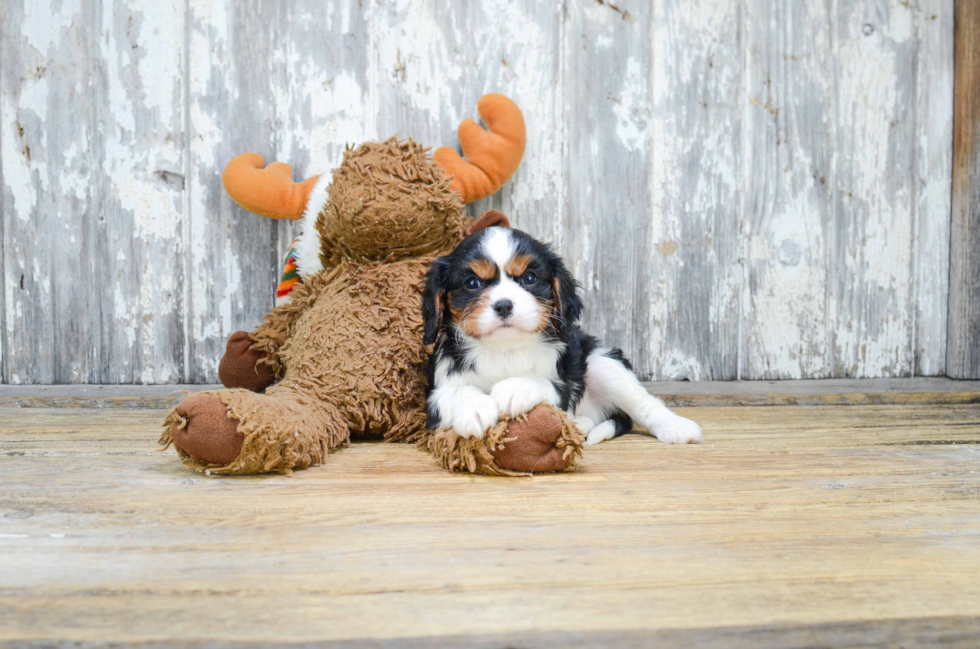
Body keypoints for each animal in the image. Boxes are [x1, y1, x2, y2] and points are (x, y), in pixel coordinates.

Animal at [422, 224, 704, 446]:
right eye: (472, 283)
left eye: (529, 278)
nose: (503, 305)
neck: (506, 349)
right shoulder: (435, 398)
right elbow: (458, 392)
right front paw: (475, 408)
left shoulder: (561, 387)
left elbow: (538, 380)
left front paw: (513, 388)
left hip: (603, 363)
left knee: (645, 404)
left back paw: (676, 427)